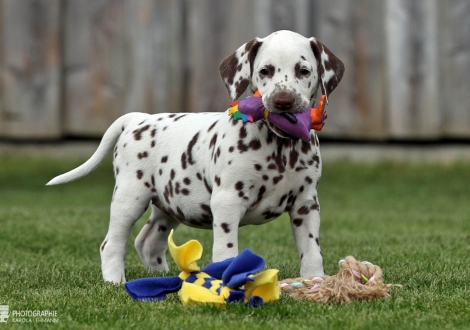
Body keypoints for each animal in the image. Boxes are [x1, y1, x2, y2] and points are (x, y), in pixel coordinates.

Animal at [47, 30, 344, 284]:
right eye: (265, 71)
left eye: (303, 71)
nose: (283, 101)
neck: (280, 148)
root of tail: (138, 119)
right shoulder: (227, 202)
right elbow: (226, 252)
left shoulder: (306, 205)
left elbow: (311, 251)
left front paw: (314, 281)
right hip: (129, 198)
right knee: (111, 243)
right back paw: (115, 281)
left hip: (169, 202)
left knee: (147, 241)